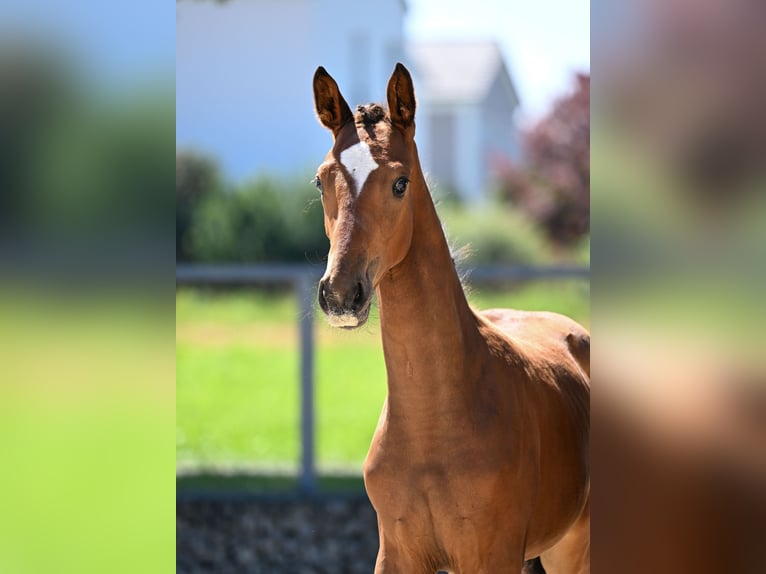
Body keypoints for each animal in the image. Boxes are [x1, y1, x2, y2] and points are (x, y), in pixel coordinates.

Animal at [311, 62, 590, 574]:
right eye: (322, 181)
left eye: (400, 183)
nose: (340, 294)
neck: (433, 422)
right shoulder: (397, 553)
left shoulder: (492, 554)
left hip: (572, 548)